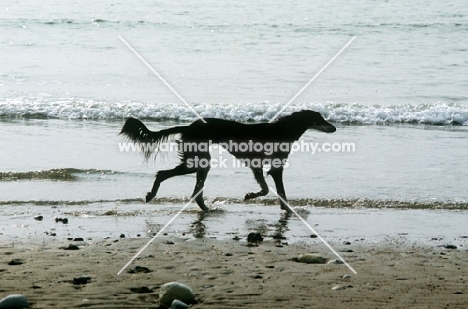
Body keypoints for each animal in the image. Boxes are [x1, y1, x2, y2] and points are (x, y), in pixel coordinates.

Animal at [119, 109, 334, 212]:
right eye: (320, 119)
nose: (334, 128)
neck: (283, 130)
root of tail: (188, 126)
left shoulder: (259, 166)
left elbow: (267, 189)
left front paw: (254, 196)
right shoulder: (273, 168)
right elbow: (274, 190)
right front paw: (285, 208)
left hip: (200, 161)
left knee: (193, 191)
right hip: (198, 160)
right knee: (165, 175)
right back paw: (153, 195)